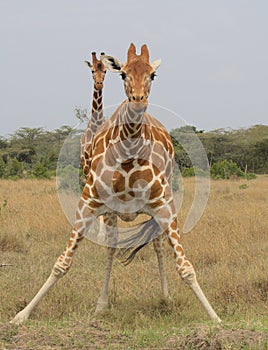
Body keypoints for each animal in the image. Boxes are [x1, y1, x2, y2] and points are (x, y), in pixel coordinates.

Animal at [10, 44, 221, 326]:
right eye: (122, 74)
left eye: (153, 75)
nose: (138, 101)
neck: (129, 149)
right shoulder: (88, 202)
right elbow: (62, 263)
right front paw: (22, 314)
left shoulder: (164, 205)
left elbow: (186, 268)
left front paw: (215, 317)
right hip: (110, 210)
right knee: (111, 246)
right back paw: (102, 303)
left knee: (157, 245)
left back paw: (165, 298)